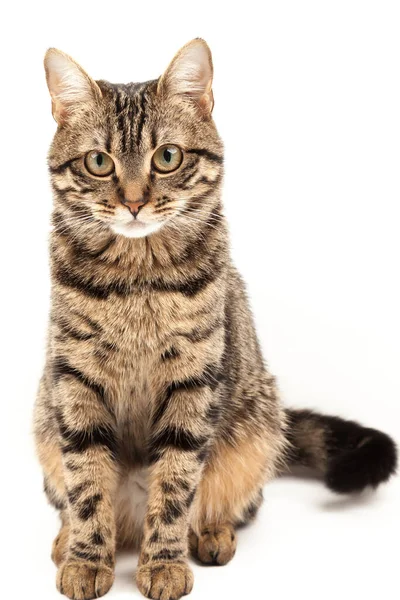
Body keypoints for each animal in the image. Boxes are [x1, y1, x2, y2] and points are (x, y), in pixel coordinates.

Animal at [34, 38, 396, 600]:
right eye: (98, 161)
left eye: (167, 157)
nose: (134, 202)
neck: (138, 279)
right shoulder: (74, 378)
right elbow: (88, 481)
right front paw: (87, 558)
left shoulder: (194, 378)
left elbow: (176, 483)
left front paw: (164, 563)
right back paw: (66, 539)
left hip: (257, 429)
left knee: (234, 501)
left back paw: (211, 533)